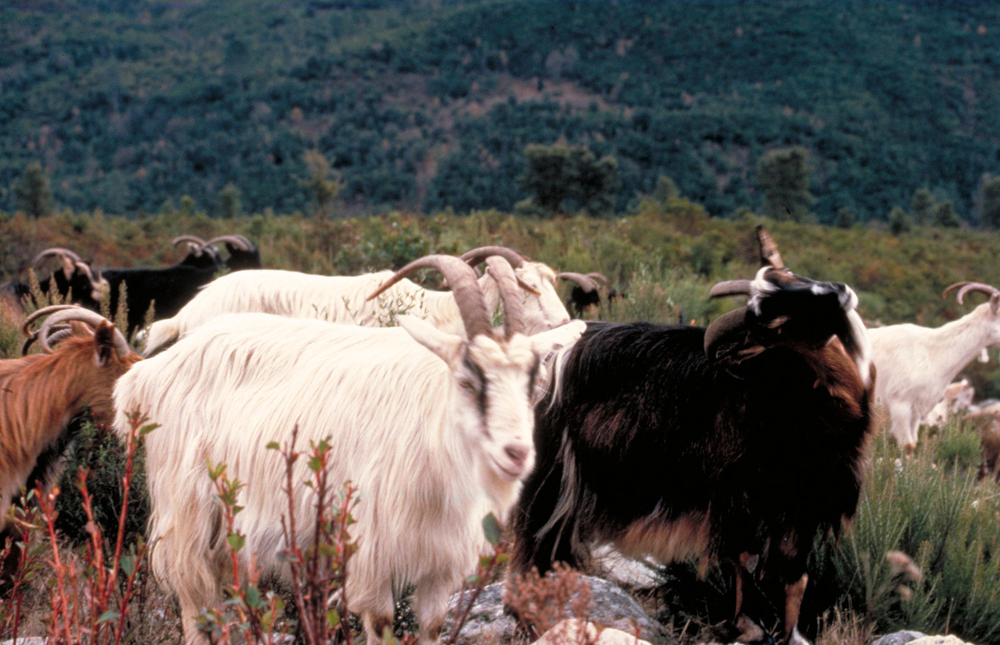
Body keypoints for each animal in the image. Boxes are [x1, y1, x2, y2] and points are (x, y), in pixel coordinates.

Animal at [114, 255, 584, 644]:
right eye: (468, 380)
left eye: (531, 381)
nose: (517, 453)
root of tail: (146, 375)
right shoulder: (372, 552)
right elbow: (380, 624)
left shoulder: (439, 561)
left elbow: (431, 625)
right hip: (187, 513)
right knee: (196, 603)